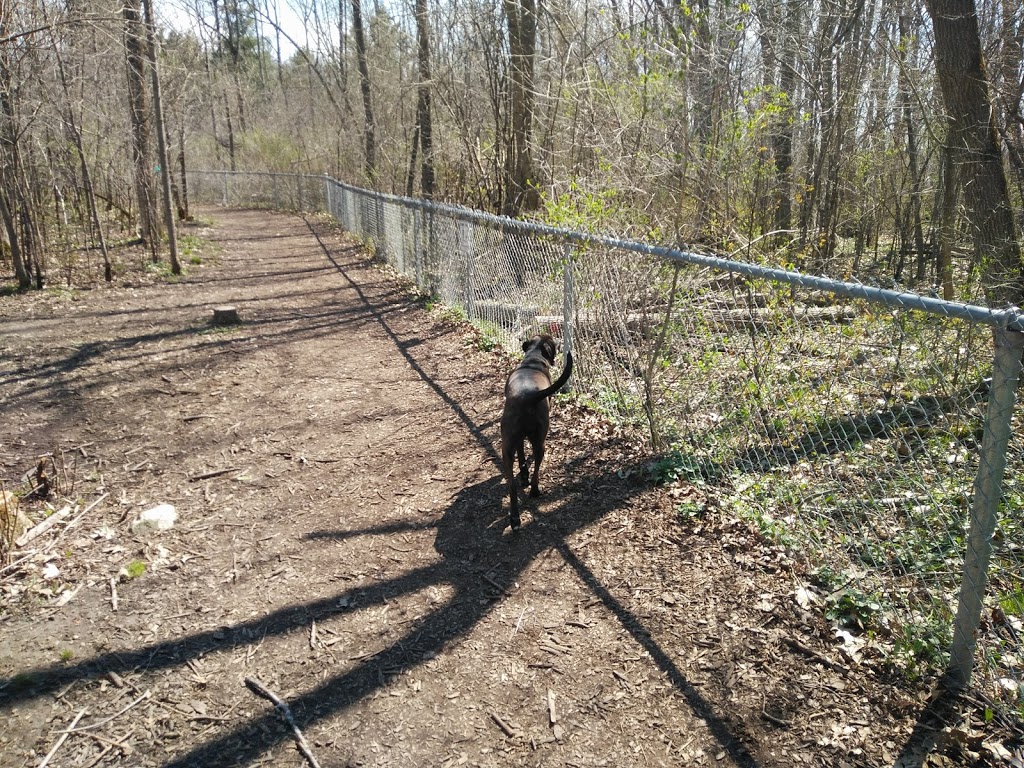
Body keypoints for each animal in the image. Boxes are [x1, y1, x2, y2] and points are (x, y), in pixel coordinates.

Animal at [499, 333, 573, 532]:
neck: (533, 359)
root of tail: (527, 397)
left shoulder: (517, 441)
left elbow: (522, 456)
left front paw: (523, 473)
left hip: (507, 447)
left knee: (512, 486)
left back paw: (515, 518)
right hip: (540, 442)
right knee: (537, 468)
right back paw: (534, 490)